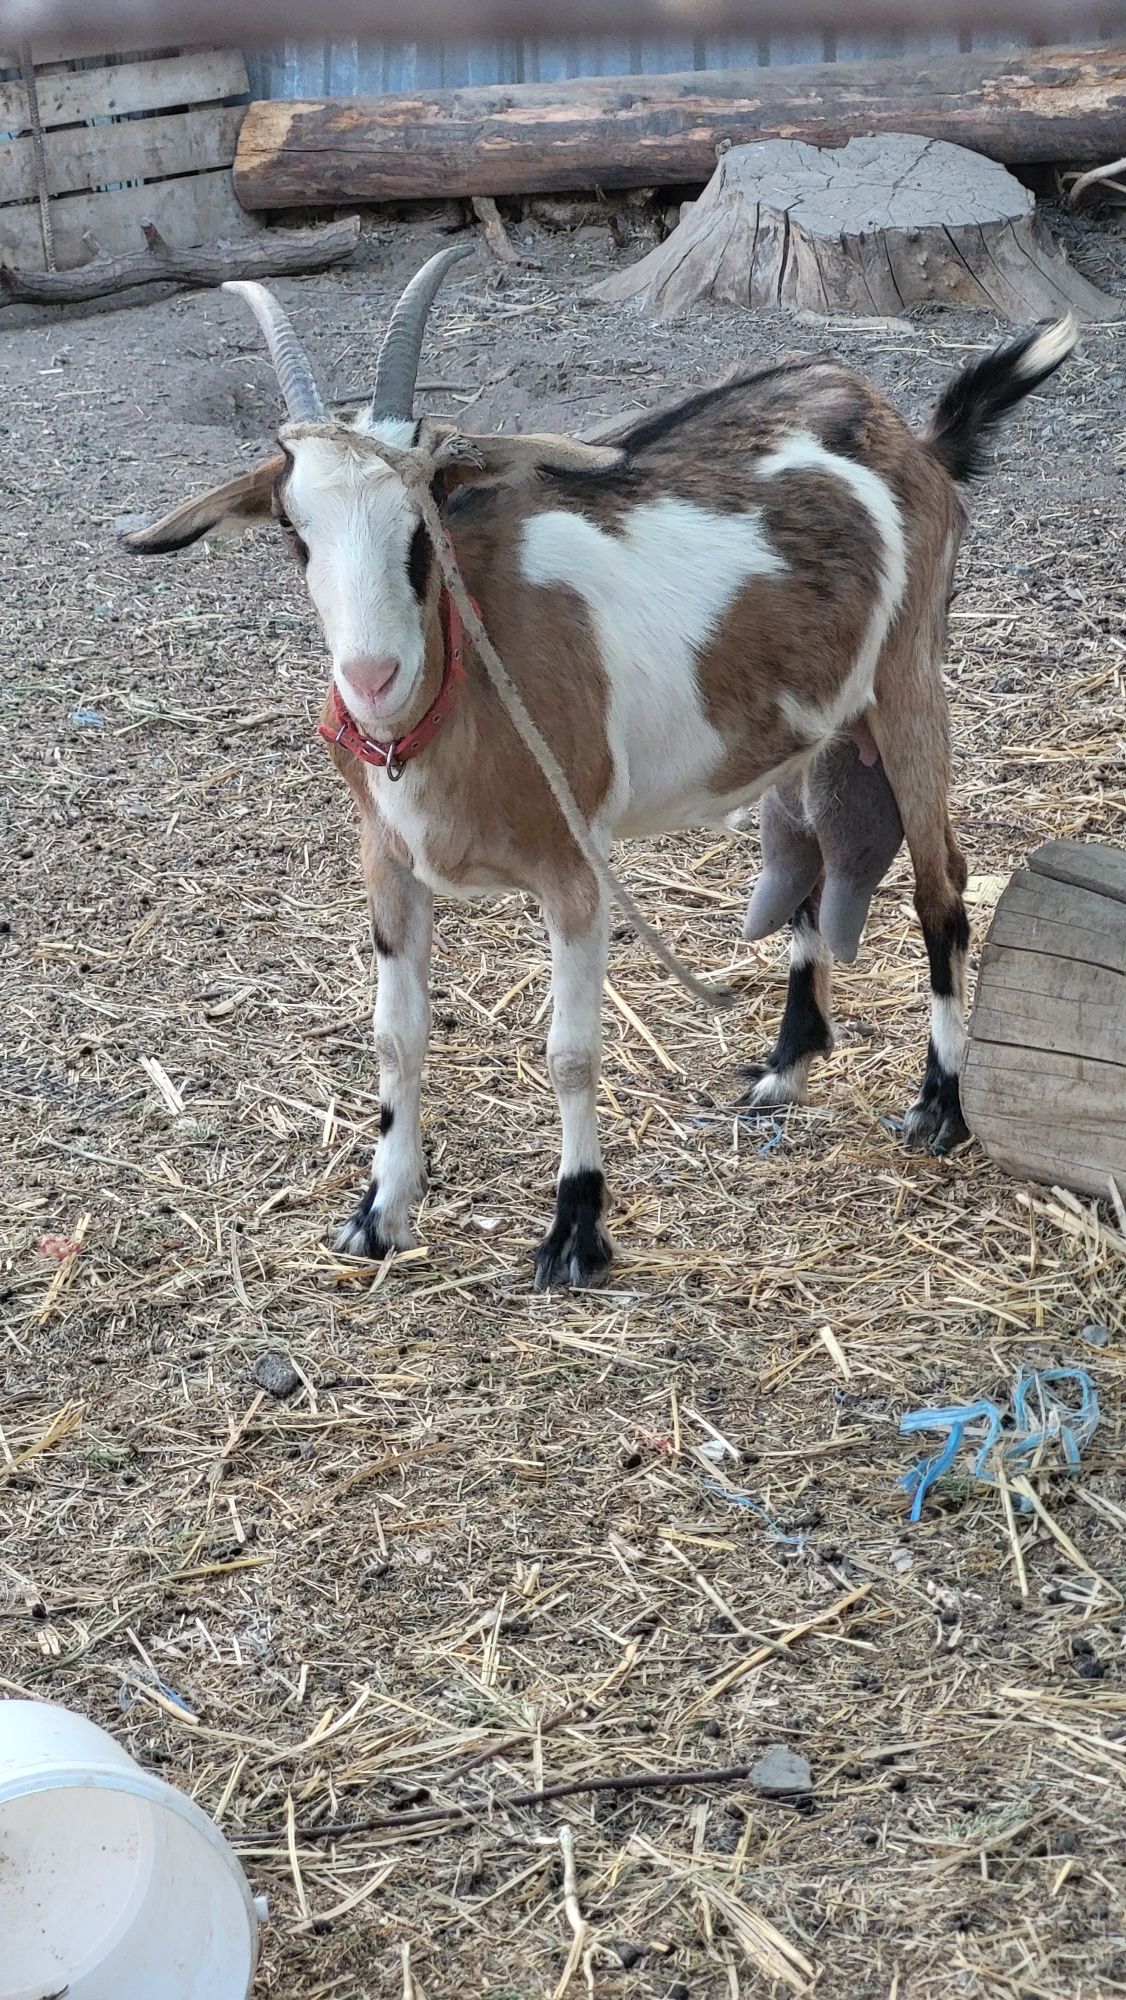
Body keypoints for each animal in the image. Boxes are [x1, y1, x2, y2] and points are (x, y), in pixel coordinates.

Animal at [121, 246, 1072, 1280]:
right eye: (295, 531)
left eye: (425, 521)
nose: (372, 678)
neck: (459, 691)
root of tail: (915, 439)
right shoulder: (388, 862)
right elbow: (395, 1040)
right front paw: (379, 1214)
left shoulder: (574, 867)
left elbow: (570, 1052)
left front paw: (575, 1228)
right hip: (809, 731)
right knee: (813, 860)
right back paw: (785, 1066)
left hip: (909, 688)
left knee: (943, 887)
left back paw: (939, 1106)